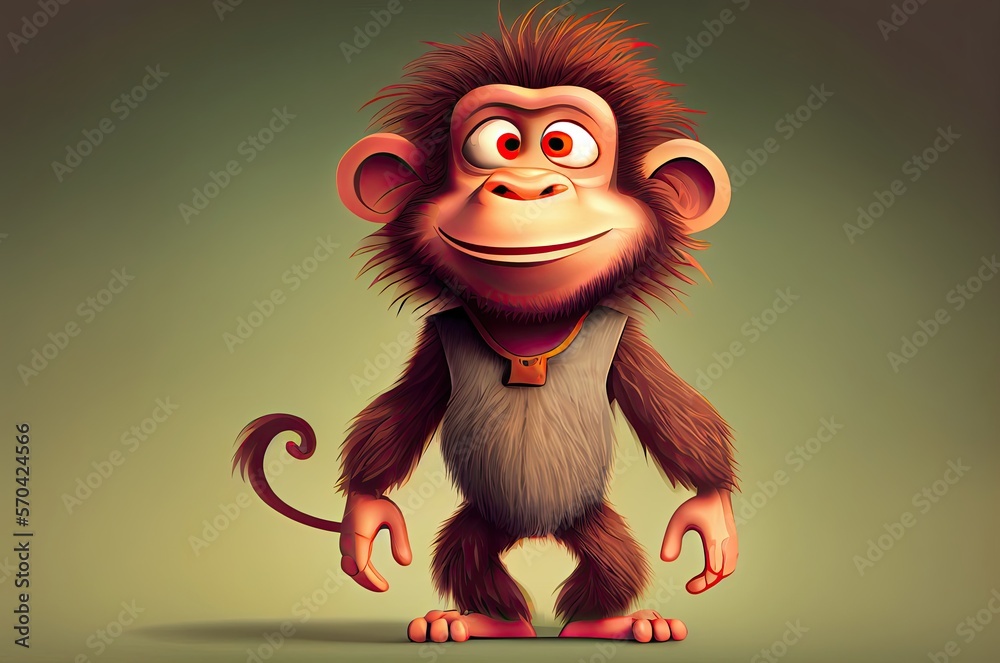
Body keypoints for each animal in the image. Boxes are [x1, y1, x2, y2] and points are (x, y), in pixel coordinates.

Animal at [234, 5, 739, 644]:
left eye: (562, 144)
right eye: (498, 143)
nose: (523, 187)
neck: (530, 327)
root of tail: (535, 530)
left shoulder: (621, 335)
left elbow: (674, 412)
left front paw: (711, 519)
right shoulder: (437, 335)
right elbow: (401, 412)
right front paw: (364, 521)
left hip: (587, 517)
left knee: (614, 560)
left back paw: (609, 622)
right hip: (482, 520)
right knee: (465, 554)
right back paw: (482, 619)